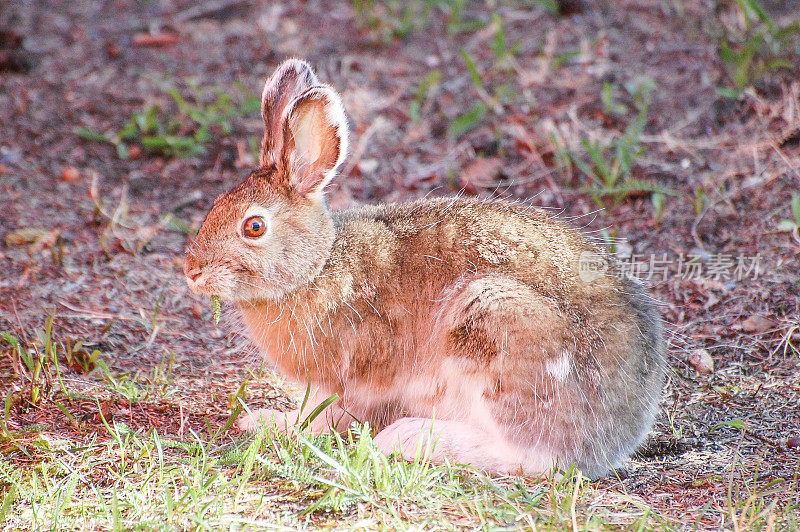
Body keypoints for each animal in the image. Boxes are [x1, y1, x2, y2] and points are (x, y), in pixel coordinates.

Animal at [184, 59, 664, 478]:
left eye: (254, 226)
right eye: (215, 205)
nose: (192, 271)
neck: (318, 266)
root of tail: (620, 428)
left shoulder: (354, 375)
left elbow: (324, 417)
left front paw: (272, 424)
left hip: (495, 328)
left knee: (533, 457)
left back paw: (408, 438)